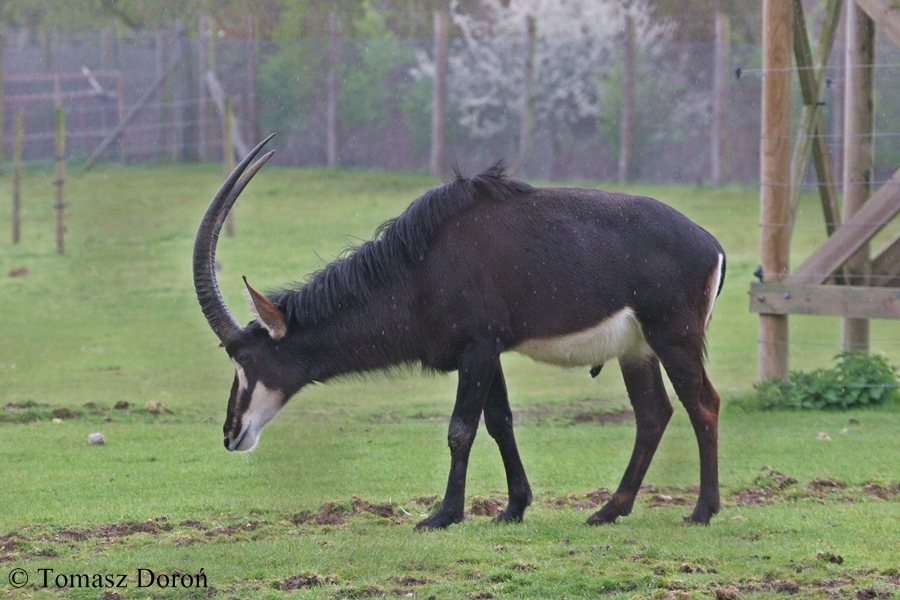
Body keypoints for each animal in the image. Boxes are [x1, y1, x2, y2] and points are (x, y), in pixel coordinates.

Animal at [193, 136, 726, 529]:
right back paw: (609, 510)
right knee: (653, 414)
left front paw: (443, 516)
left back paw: (702, 512)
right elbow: (500, 422)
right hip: (637, 349)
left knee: (703, 403)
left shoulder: (478, 348)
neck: (419, 266)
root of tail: (710, 243)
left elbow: (460, 429)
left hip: (673, 337)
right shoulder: (487, 352)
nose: (231, 434)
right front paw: (513, 509)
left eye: (245, 358)